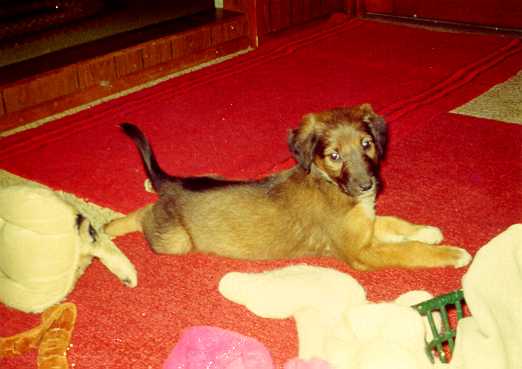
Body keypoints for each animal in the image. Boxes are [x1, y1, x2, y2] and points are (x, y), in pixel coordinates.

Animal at [103, 103, 470, 270]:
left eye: (366, 144)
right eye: (334, 155)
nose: (368, 186)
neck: (330, 184)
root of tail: (175, 184)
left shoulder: (366, 226)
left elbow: (395, 223)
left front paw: (427, 231)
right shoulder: (360, 251)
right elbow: (408, 251)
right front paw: (451, 253)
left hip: (212, 177)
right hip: (175, 241)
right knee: (142, 216)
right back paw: (109, 225)